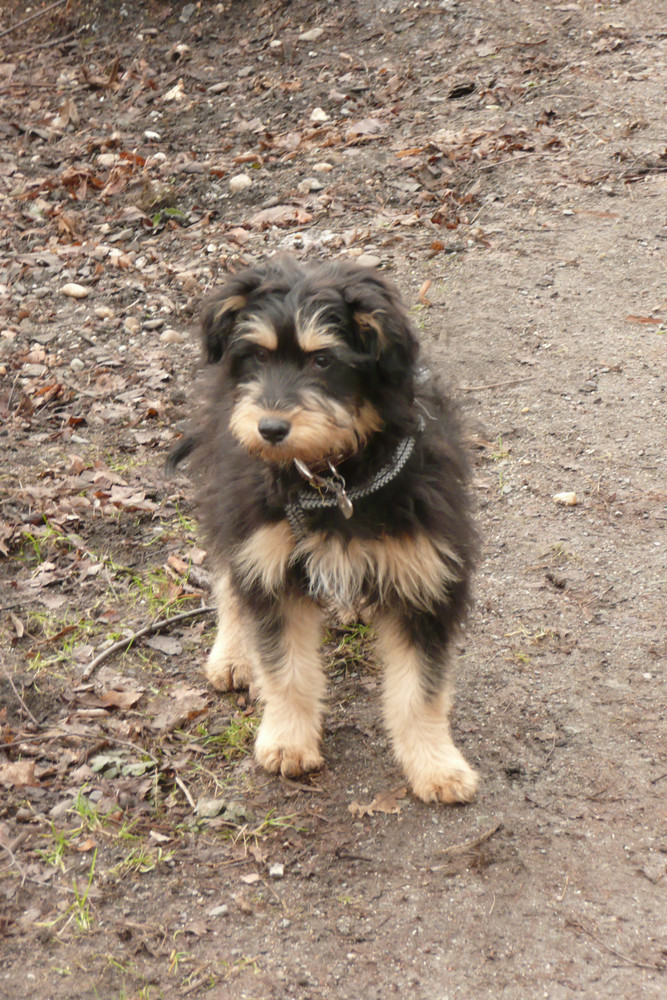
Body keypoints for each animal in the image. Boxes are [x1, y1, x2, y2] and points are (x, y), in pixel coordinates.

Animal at [170, 256, 478, 804]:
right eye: (257, 355)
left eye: (322, 361)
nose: (270, 429)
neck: (338, 476)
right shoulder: (268, 558)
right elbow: (286, 669)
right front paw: (288, 741)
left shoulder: (427, 576)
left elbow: (421, 690)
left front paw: (436, 765)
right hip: (234, 508)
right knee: (228, 578)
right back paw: (233, 655)